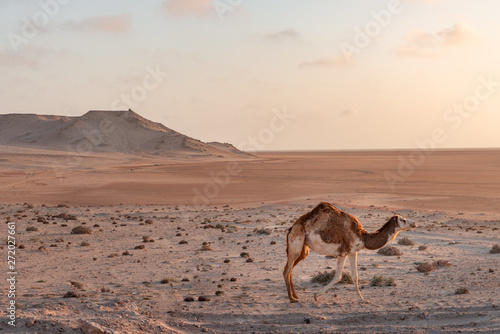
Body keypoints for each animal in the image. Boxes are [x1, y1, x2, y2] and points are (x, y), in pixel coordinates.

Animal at [284, 202, 416, 304]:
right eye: (403, 220)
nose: (414, 223)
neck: (363, 237)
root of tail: (291, 228)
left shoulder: (342, 253)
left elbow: (338, 276)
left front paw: (316, 295)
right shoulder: (352, 251)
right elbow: (354, 276)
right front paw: (363, 300)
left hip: (304, 248)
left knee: (291, 269)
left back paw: (295, 295)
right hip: (296, 242)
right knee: (287, 270)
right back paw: (291, 299)